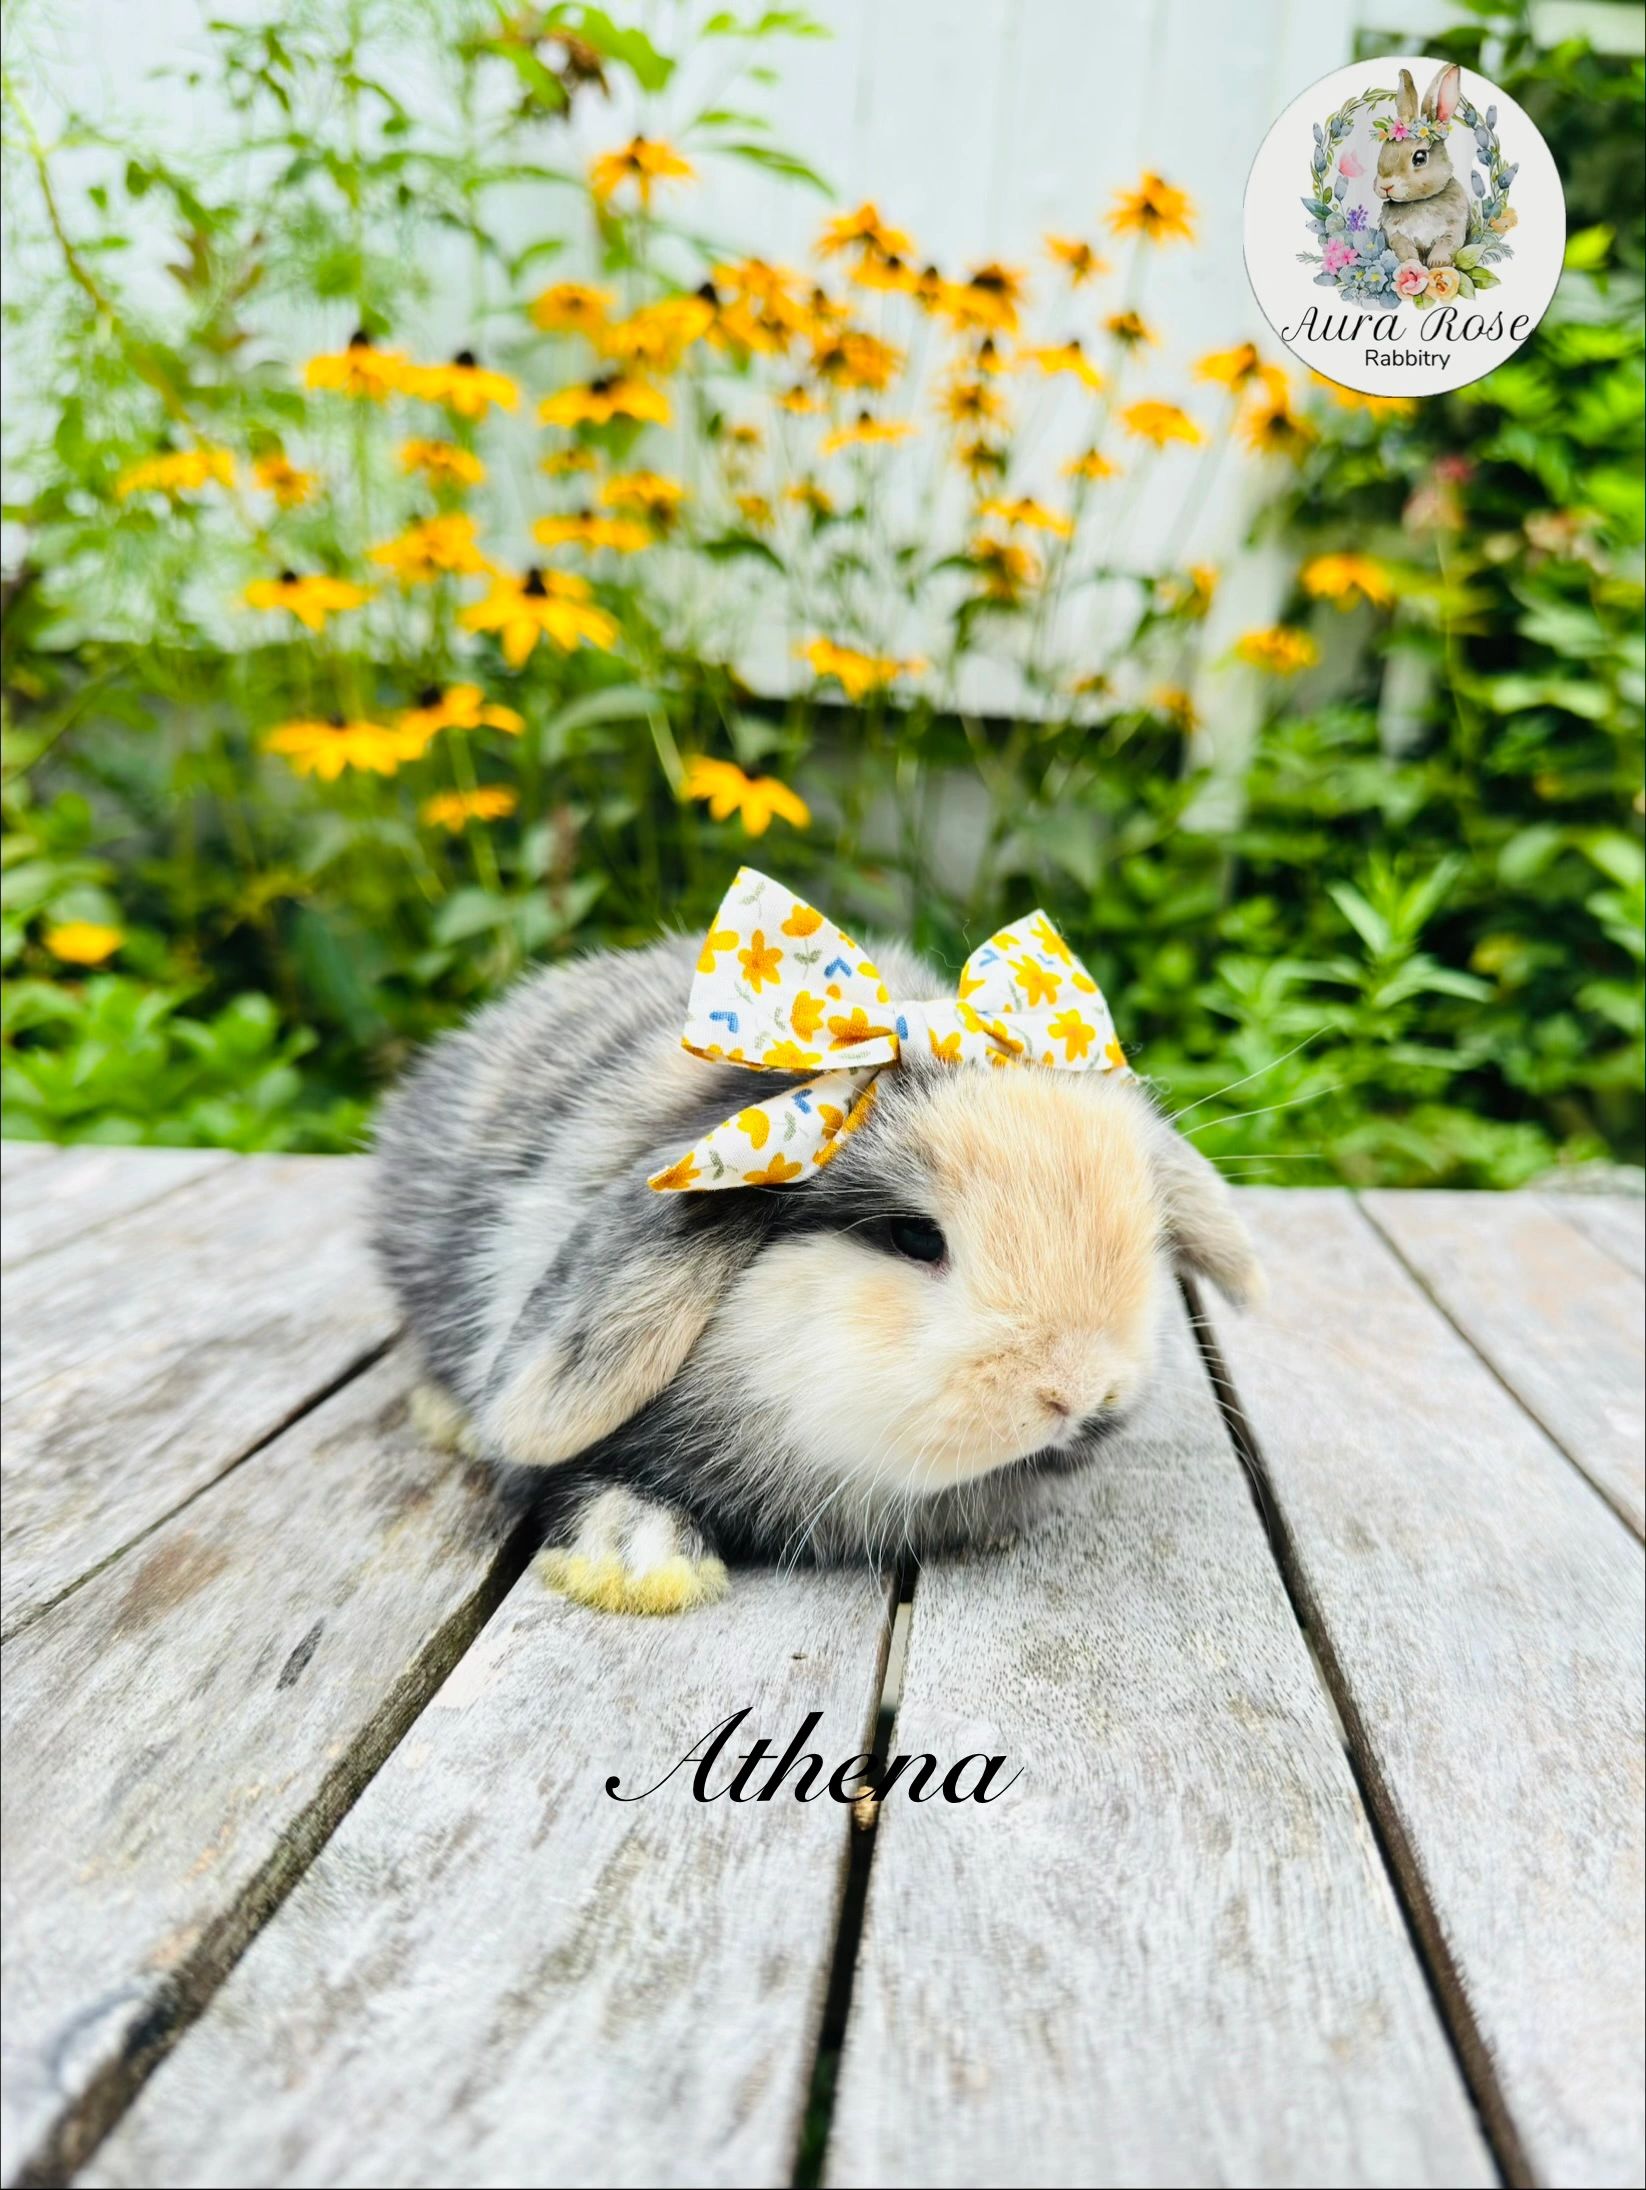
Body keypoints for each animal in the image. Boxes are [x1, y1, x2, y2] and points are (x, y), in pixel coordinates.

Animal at [1375, 63, 1469, 269]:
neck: (1420, 201)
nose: (1385, 186)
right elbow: (1405, 251)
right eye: (1383, 150)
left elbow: (1446, 245)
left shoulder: (1454, 229)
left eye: (1419, 158)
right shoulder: (1397, 235)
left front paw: (1437, 263)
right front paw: (1412, 266)